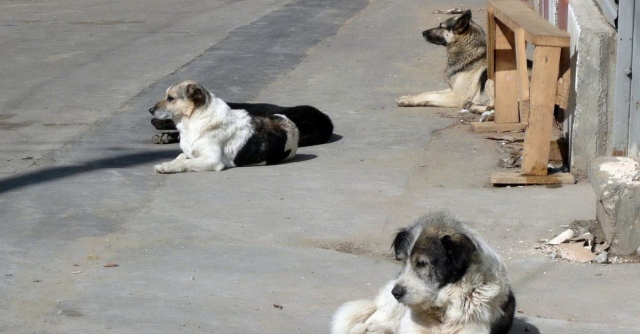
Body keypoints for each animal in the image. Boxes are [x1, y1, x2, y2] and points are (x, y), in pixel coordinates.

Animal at [151, 80, 312, 174]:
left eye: (170, 98)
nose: (150, 110)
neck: (196, 120)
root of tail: (290, 123)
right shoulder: (190, 152)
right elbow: (180, 157)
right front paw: (169, 163)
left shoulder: (212, 160)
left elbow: (185, 162)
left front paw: (166, 167)